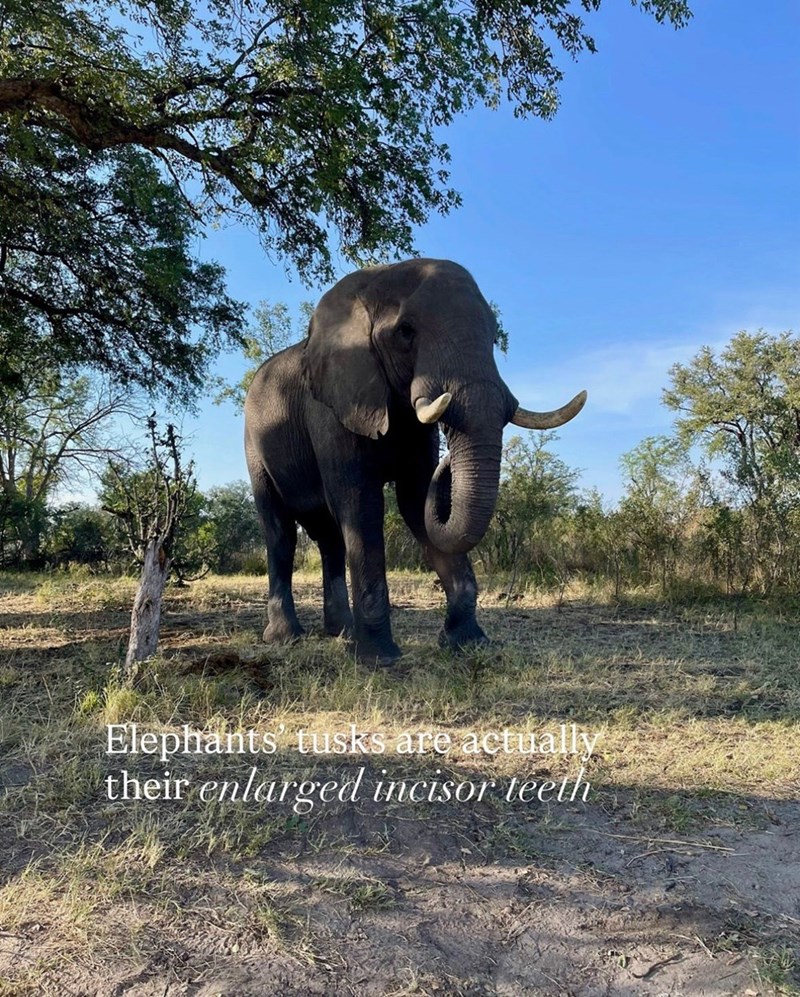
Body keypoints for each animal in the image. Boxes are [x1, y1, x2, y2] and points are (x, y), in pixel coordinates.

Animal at [244, 258, 586, 665]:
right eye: (405, 332)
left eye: (493, 336)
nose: (447, 462)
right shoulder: (332, 408)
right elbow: (360, 502)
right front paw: (378, 659)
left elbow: (417, 502)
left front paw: (467, 643)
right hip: (253, 445)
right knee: (279, 531)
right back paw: (286, 638)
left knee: (329, 539)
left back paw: (341, 633)